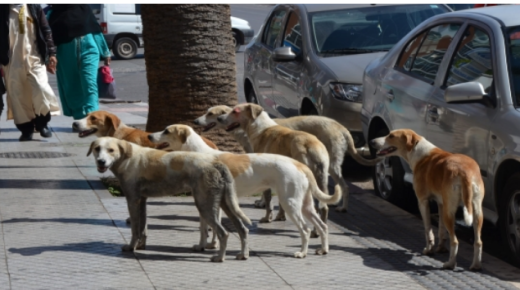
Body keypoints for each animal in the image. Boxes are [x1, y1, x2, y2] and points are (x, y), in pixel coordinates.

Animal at [87, 137, 250, 262]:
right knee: (243, 229)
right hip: (224, 203)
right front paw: (140, 246)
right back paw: (243, 254)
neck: (127, 156)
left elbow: (134, 228)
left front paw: (131, 247)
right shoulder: (142, 200)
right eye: (97, 148)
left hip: (205, 205)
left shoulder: (132, 200)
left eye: (111, 150)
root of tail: (216, 163)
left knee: (224, 233)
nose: (101, 161)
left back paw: (219, 258)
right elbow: (142, 228)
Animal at [148, 125, 344, 258]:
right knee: (323, 226)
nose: (149, 135)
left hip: (290, 204)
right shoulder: (213, 202)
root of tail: (299, 164)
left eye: (166, 130)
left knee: (305, 229)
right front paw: (206, 245)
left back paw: (302, 253)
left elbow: (209, 227)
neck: (201, 154)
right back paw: (323, 249)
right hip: (305, 205)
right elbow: (206, 228)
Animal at [193, 105, 380, 212]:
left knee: (342, 186)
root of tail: (341, 126)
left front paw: (262, 203)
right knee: (341, 188)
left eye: (210, 113)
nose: (195, 121)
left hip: (331, 166)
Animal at [370, 129, 484, 272]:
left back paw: (450, 264)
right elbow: (441, 229)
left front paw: (429, 250)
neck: (419, 152)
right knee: (478, 242)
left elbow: (428, 229)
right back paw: (476, 265)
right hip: (476, 212)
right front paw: (441, 248)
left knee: (455, 241)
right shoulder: (441, 204)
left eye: (391, 136)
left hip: (450, 212)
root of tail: (465, 172)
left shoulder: (423, 201)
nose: (372, 141)